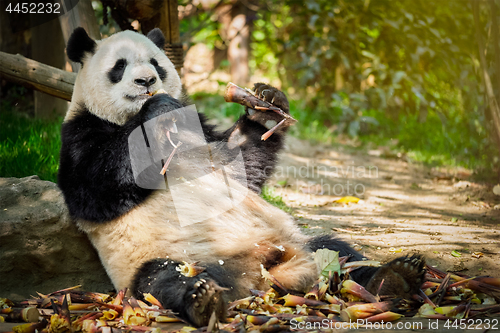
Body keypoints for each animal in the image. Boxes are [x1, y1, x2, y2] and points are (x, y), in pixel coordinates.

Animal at [57, 26, 426, 326]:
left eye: (156, 63)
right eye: (119, 67)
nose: (147, 81)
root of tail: (260, 274)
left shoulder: (200, 131)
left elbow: (240, 166)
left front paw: (265, 105)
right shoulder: (78, 136)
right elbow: (97, 189)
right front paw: (156, 109)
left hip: (297, 242)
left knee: (339, 251)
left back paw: (395, 277)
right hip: (161, 258)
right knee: (161, 280)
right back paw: (202, 299)